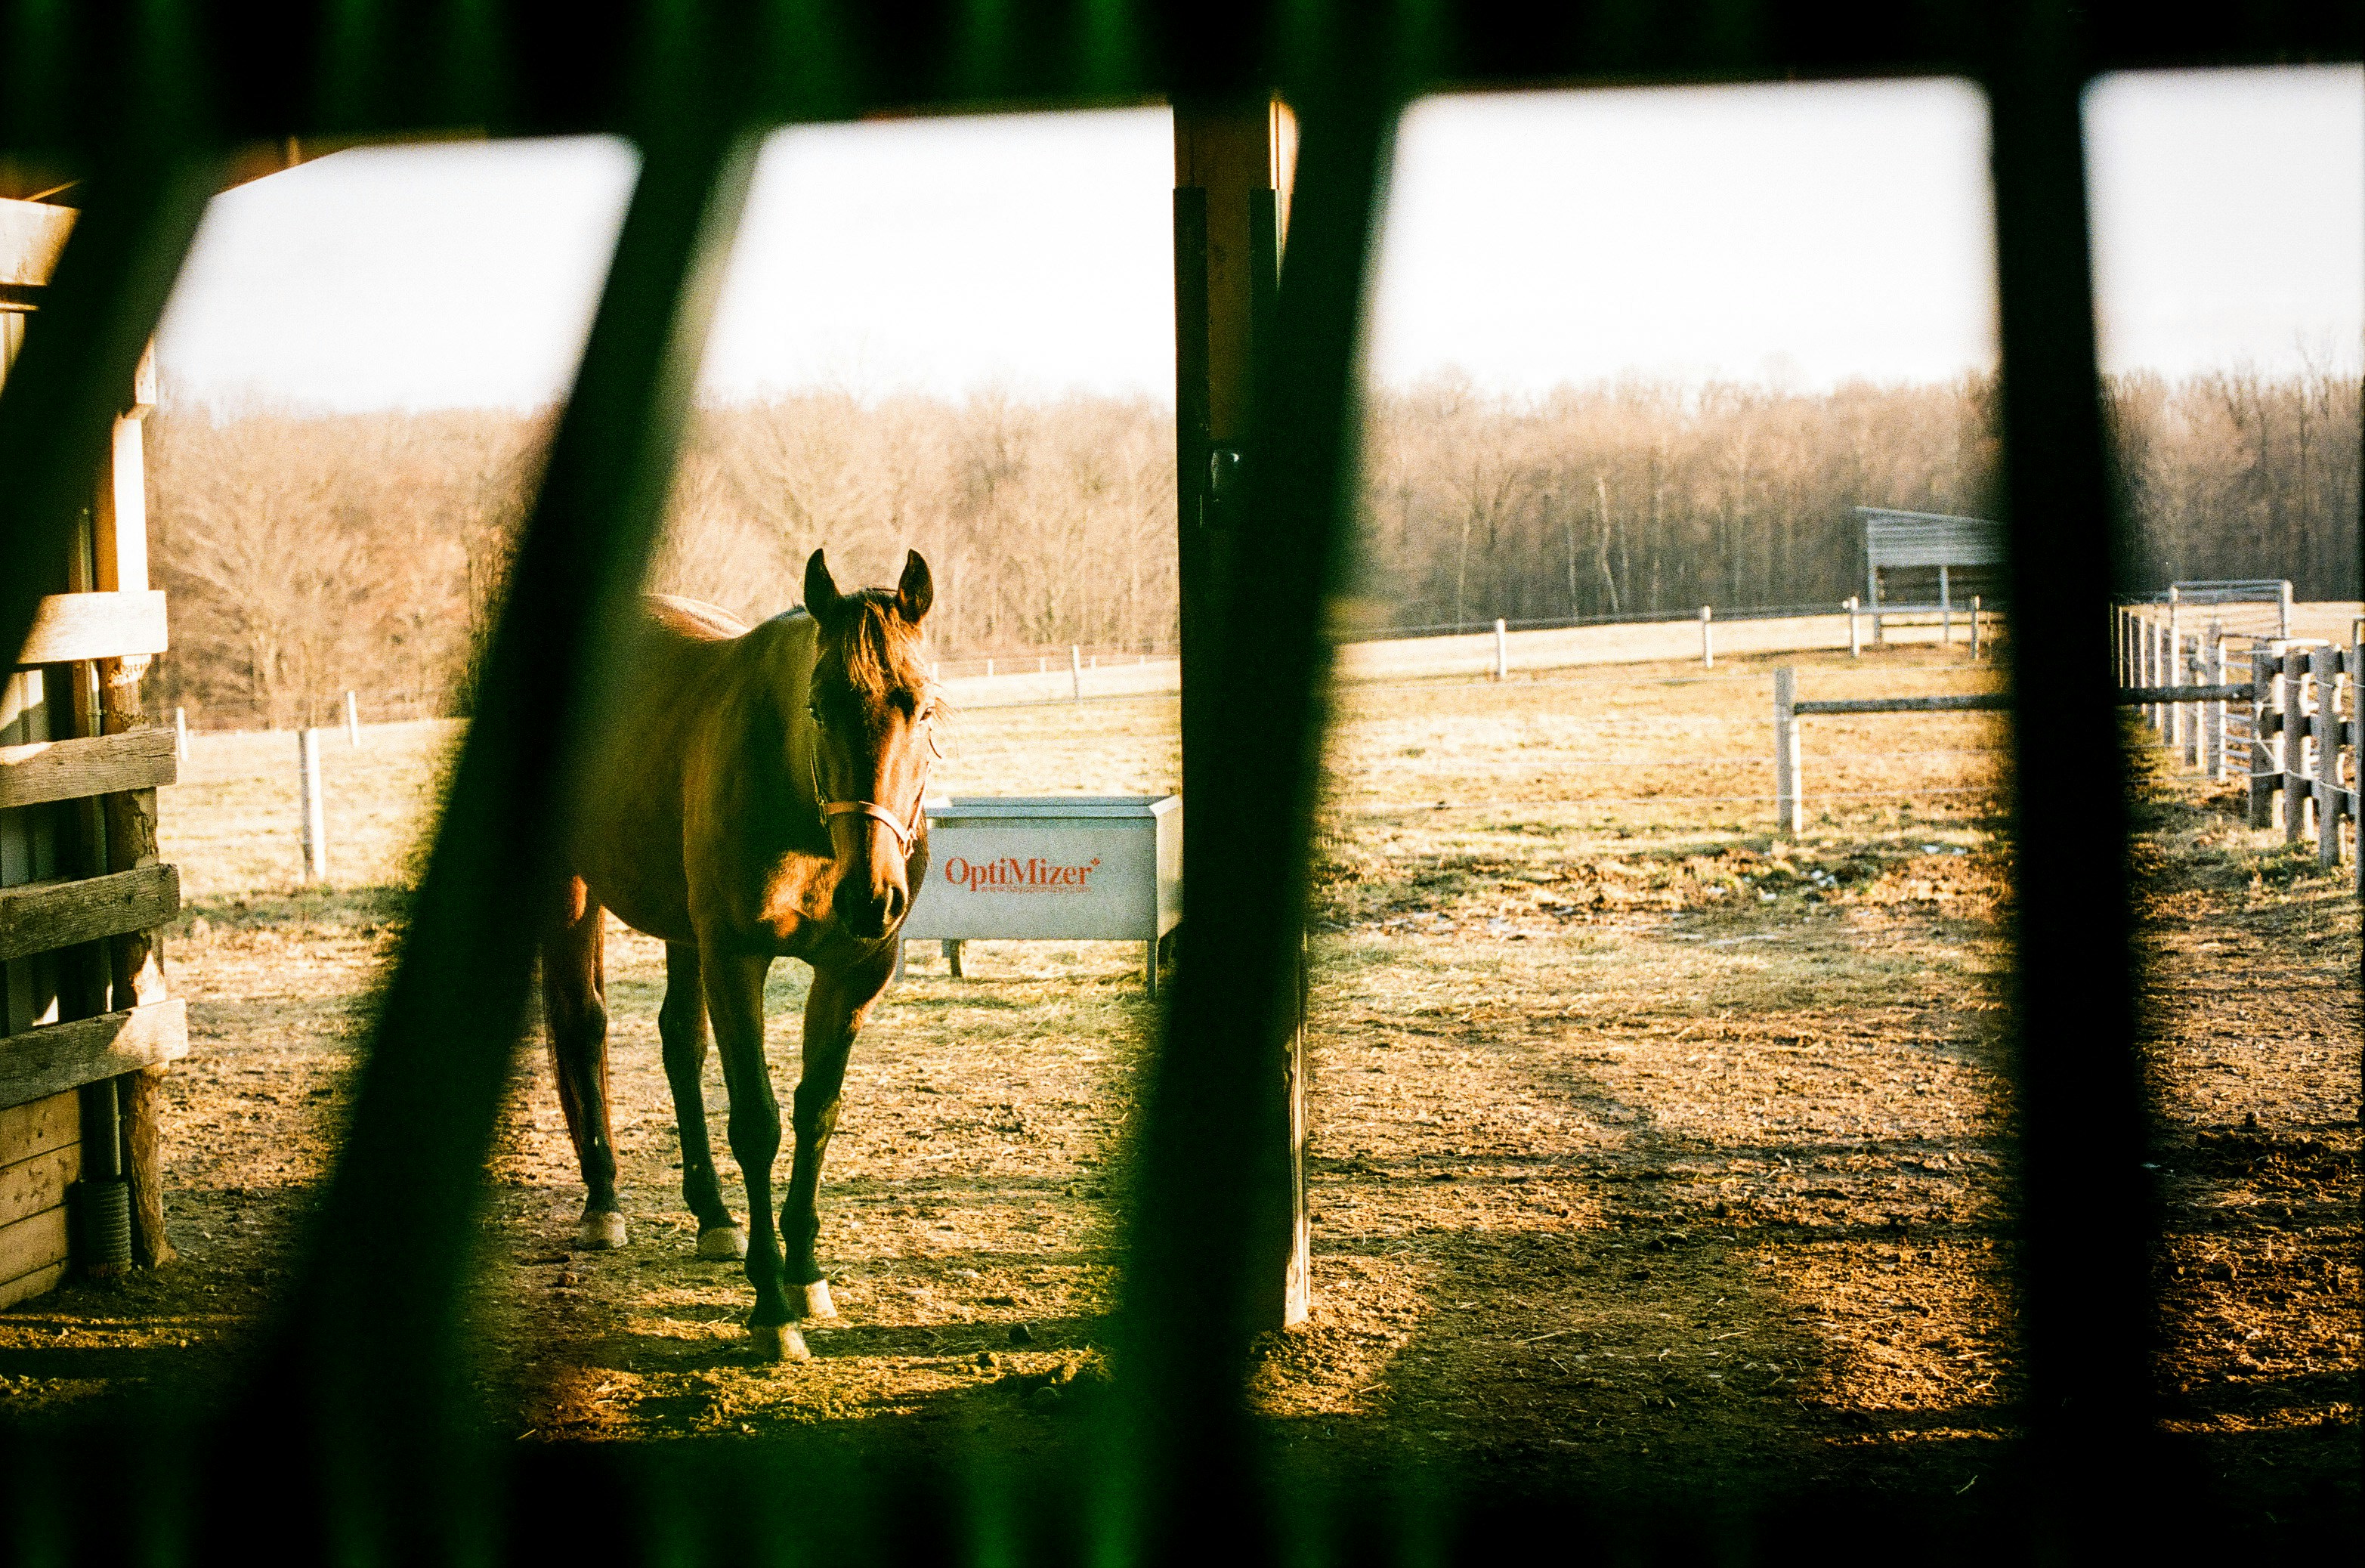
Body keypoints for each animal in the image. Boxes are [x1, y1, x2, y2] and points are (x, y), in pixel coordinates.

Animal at [540, 547, 937, 1360]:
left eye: (923, 706)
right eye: (819, 706)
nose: (871, 895)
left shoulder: (852, 974)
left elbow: (817, 1112)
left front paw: (807, 1274)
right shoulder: (735, 958)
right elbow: (758, 1122)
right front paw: (772, 1307)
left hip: (683, 930)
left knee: (678, 1042)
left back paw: (713, 1215)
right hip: (572, 890)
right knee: (582, 1023)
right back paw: (604, 1202)